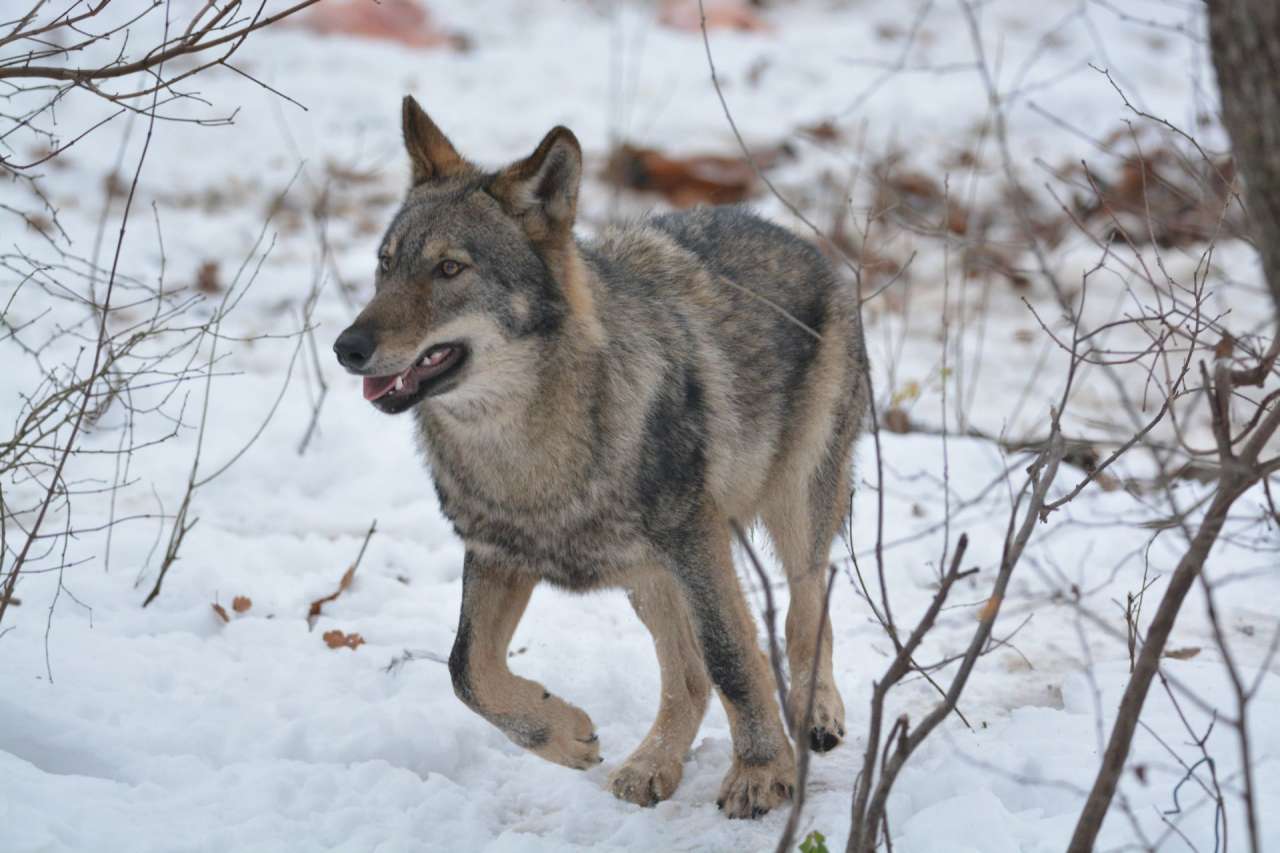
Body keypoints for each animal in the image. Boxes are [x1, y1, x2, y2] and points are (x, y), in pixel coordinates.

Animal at [330, 94, 870, 819]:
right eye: (386, 264)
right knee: (688, 674)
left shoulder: (694, 537)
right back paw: (652, 764)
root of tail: (798, 240)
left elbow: (734, 656)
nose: (347, 346)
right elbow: (466, 670)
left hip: (790, 512)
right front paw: (561, 735)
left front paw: (761, 772)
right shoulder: (497, 553)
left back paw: (815, 716)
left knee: (804, 613)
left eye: (449, 268)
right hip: (647, 575)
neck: (528, 450)